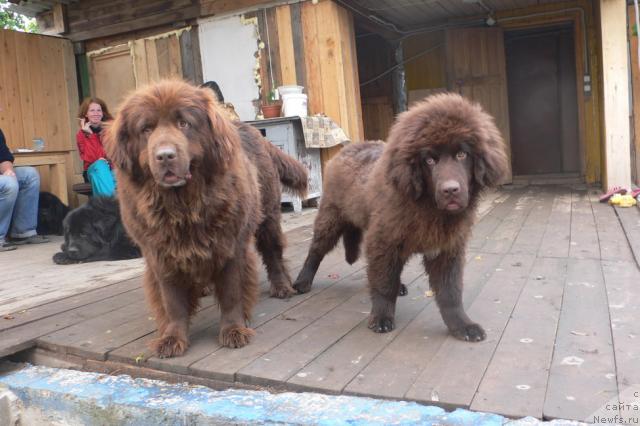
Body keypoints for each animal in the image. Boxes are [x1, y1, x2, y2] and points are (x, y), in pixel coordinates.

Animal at [105, 80, 308, 356]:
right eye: (146, 129)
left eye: (184, 123)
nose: (165, 155)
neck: (182, 206)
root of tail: (252, 130)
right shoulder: (161, 253)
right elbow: (172, 301)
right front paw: (172, 338)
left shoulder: (230, 245)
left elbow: (231, 292)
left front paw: (233, 330)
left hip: (267, 216)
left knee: (273, 253)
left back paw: (282, 286)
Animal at [292, 95, 508, 342]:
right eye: (429, 160)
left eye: (462, 155)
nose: (450, 190)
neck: (428, 208)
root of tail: (348, 148)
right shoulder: (384, 239)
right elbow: (384, 283)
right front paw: (381, 318)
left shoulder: (447, 247)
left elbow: (450, 291)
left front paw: (462, 325)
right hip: (331, 216)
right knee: (316, 251)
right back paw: (303, 281)